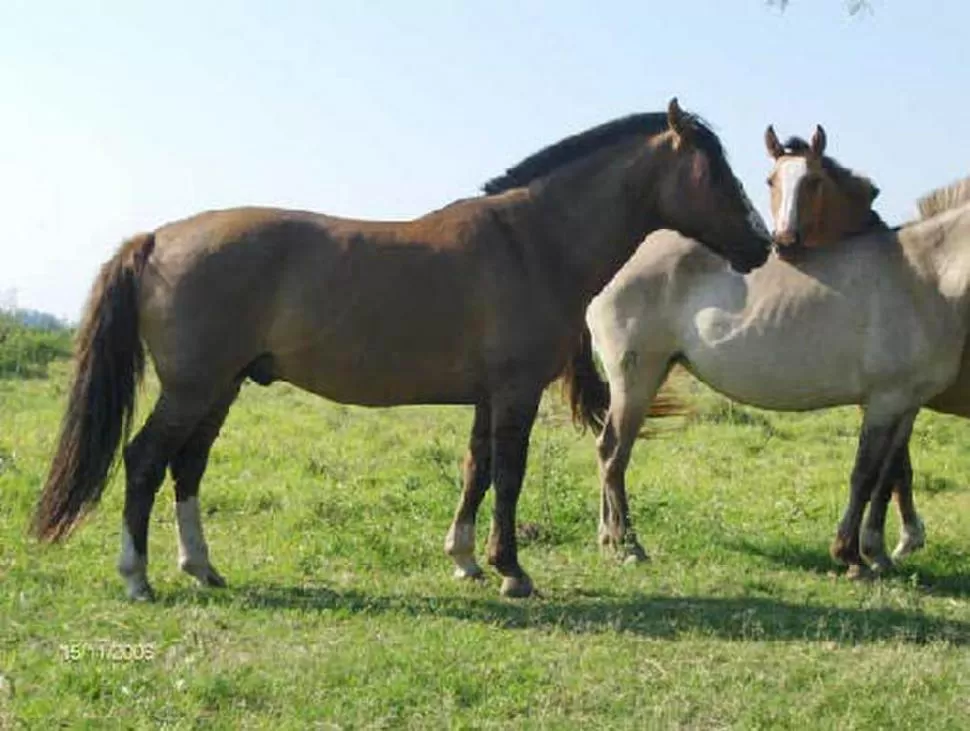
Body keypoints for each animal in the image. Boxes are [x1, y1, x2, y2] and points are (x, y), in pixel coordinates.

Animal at [32, 98, 772, 600]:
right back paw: (138, 576)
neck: (531, 241)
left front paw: (466, 558)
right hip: (194, 387)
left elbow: (476, 470)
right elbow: (508, 475)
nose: (762, 244)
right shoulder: (515, 393)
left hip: (222, 386)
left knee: (187, 467)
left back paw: (202, 568)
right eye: (714, 171)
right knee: (144, 461)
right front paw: (511, 570)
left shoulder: (488, 396)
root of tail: (157, 237)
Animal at [564, 127, 968, 584]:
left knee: (608, 451)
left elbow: (885, 478)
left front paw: (877, 554)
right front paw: (851, 556)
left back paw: (608, 539)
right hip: (635, 378)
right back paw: (628, 545)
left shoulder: (907, 404)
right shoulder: (884, 401)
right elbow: (864, 475)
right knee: (613, 452)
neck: (926, 275)